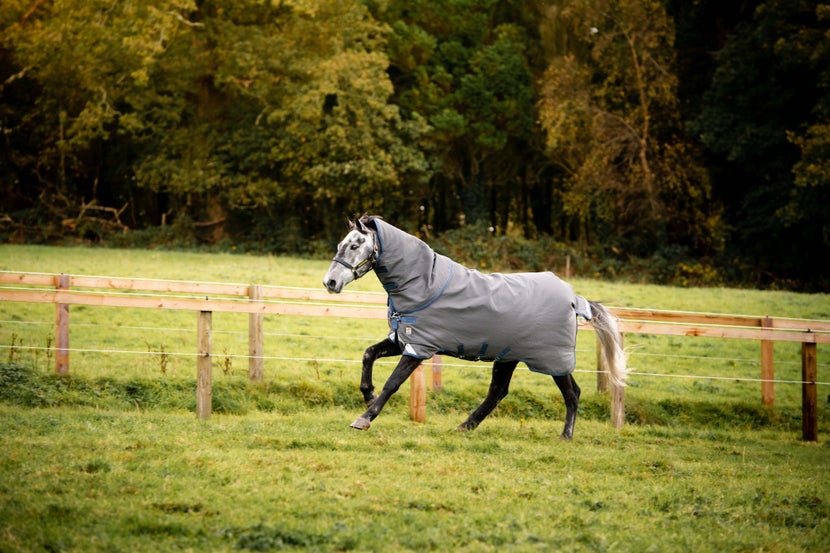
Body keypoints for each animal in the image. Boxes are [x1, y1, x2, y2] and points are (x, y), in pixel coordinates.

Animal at [322, 213, 628, 438]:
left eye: (354, 245)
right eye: (340, 244)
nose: (330, 282)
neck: (424, 284)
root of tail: (575, 299)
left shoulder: (418, 348)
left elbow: (392, 383)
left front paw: (364, 417)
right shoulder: (403, 340)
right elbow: (368, 354)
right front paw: (367, 395)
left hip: (551, 358)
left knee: (572, 393)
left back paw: (566, 435)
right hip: (509, 356)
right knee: (497, 392)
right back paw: (464, 426)